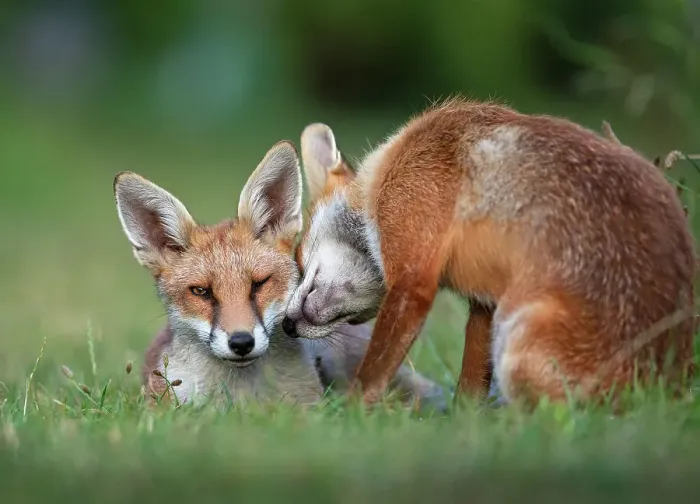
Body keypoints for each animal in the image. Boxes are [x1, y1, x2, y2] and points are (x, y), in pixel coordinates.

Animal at [282, 97, 696, 407]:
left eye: (299, 260)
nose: (285, 325)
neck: (385, 173)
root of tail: (669, 385)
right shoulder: (485, 306)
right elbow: (469, 388)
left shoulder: (414, 280)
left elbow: (371, 374)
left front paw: (348, 417)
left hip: (518, 337)